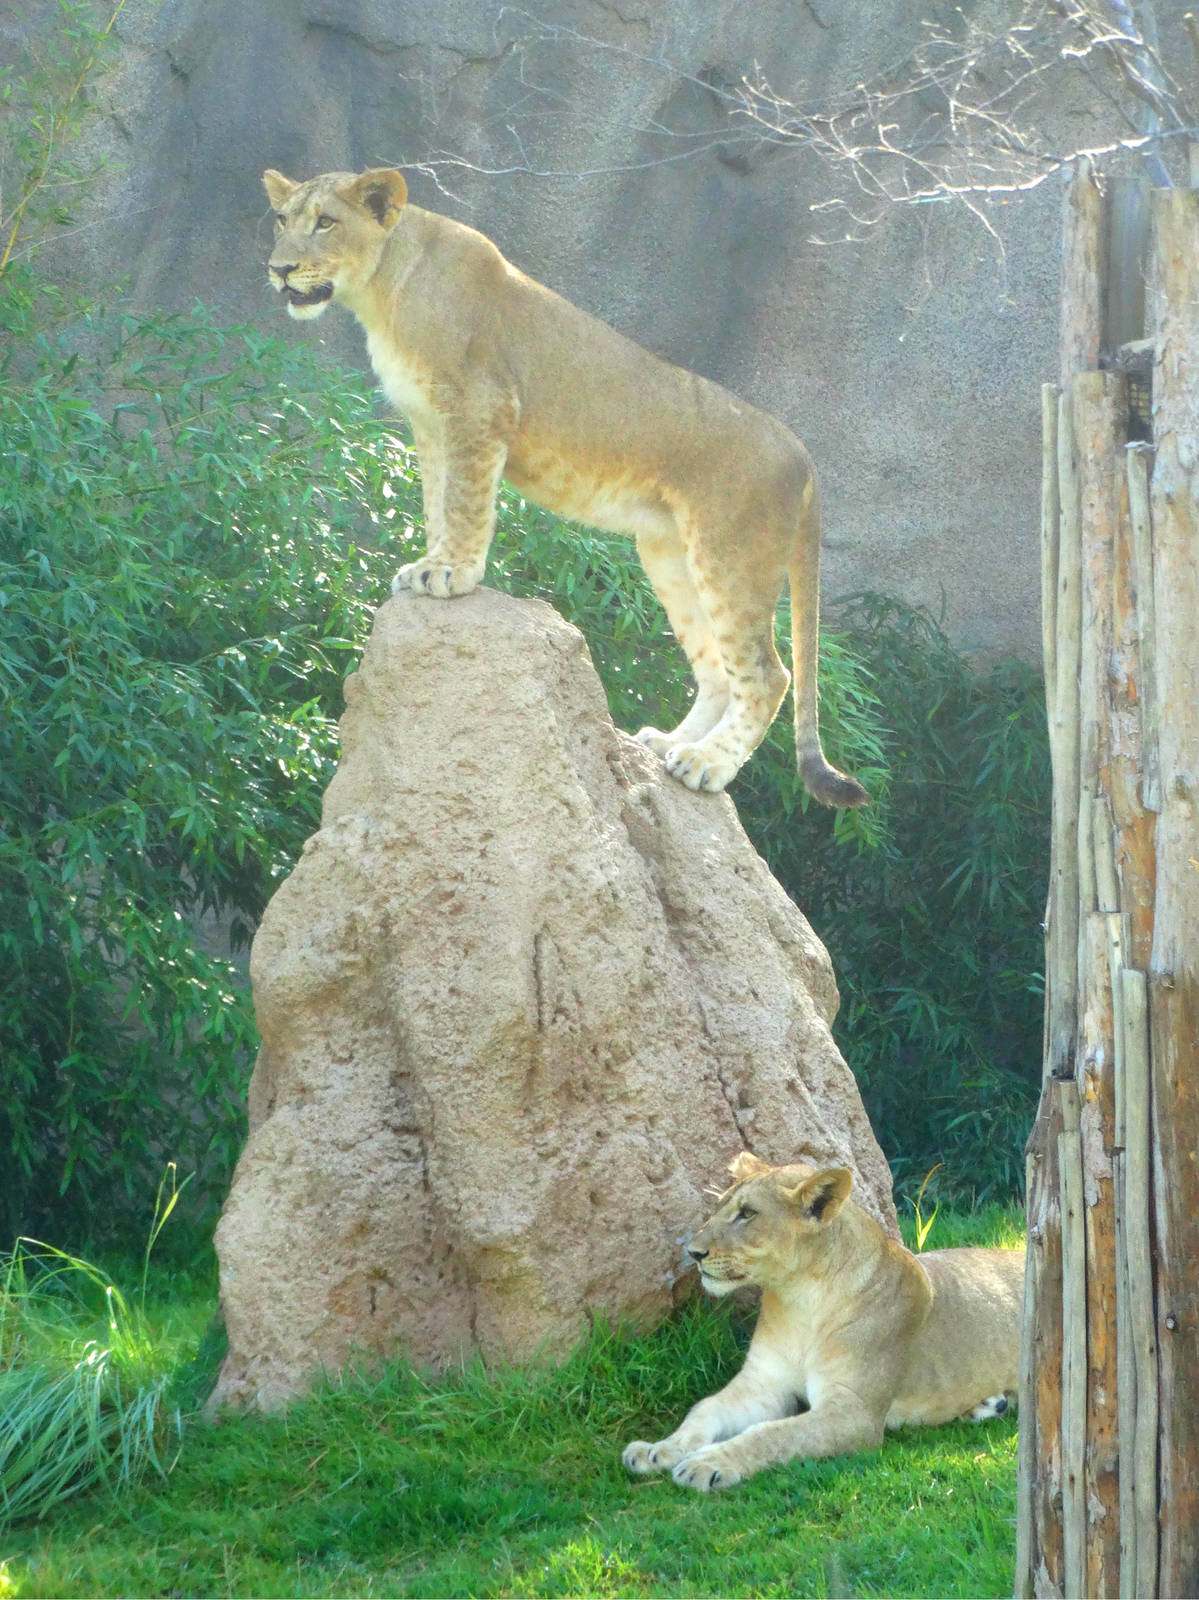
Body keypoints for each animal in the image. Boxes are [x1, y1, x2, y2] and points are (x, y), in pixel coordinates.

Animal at [262, 166, 867, 804]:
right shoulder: (429, 425)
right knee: (718, 669)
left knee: (768, 675)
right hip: (671, 555)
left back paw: (706, 765)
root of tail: (802, 452)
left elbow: (466, 503)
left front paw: (452, 574)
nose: (279, 268)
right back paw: (666, 745)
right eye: (281, 220)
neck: (381, 290)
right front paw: (430, 565)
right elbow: (437, 504)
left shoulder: (482, 409)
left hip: (732, 556)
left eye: (326, 223)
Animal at [622, 1152, 1025, 1491]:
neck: (801, 1299)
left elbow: (772, 1434)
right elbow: (704, 1409)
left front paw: (707, 1463)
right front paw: (657, 1450)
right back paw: (988, 1404)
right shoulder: (762, 1383)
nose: (693, 1253)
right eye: (721, 1207)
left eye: (748, 1213)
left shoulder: (854, 1411)